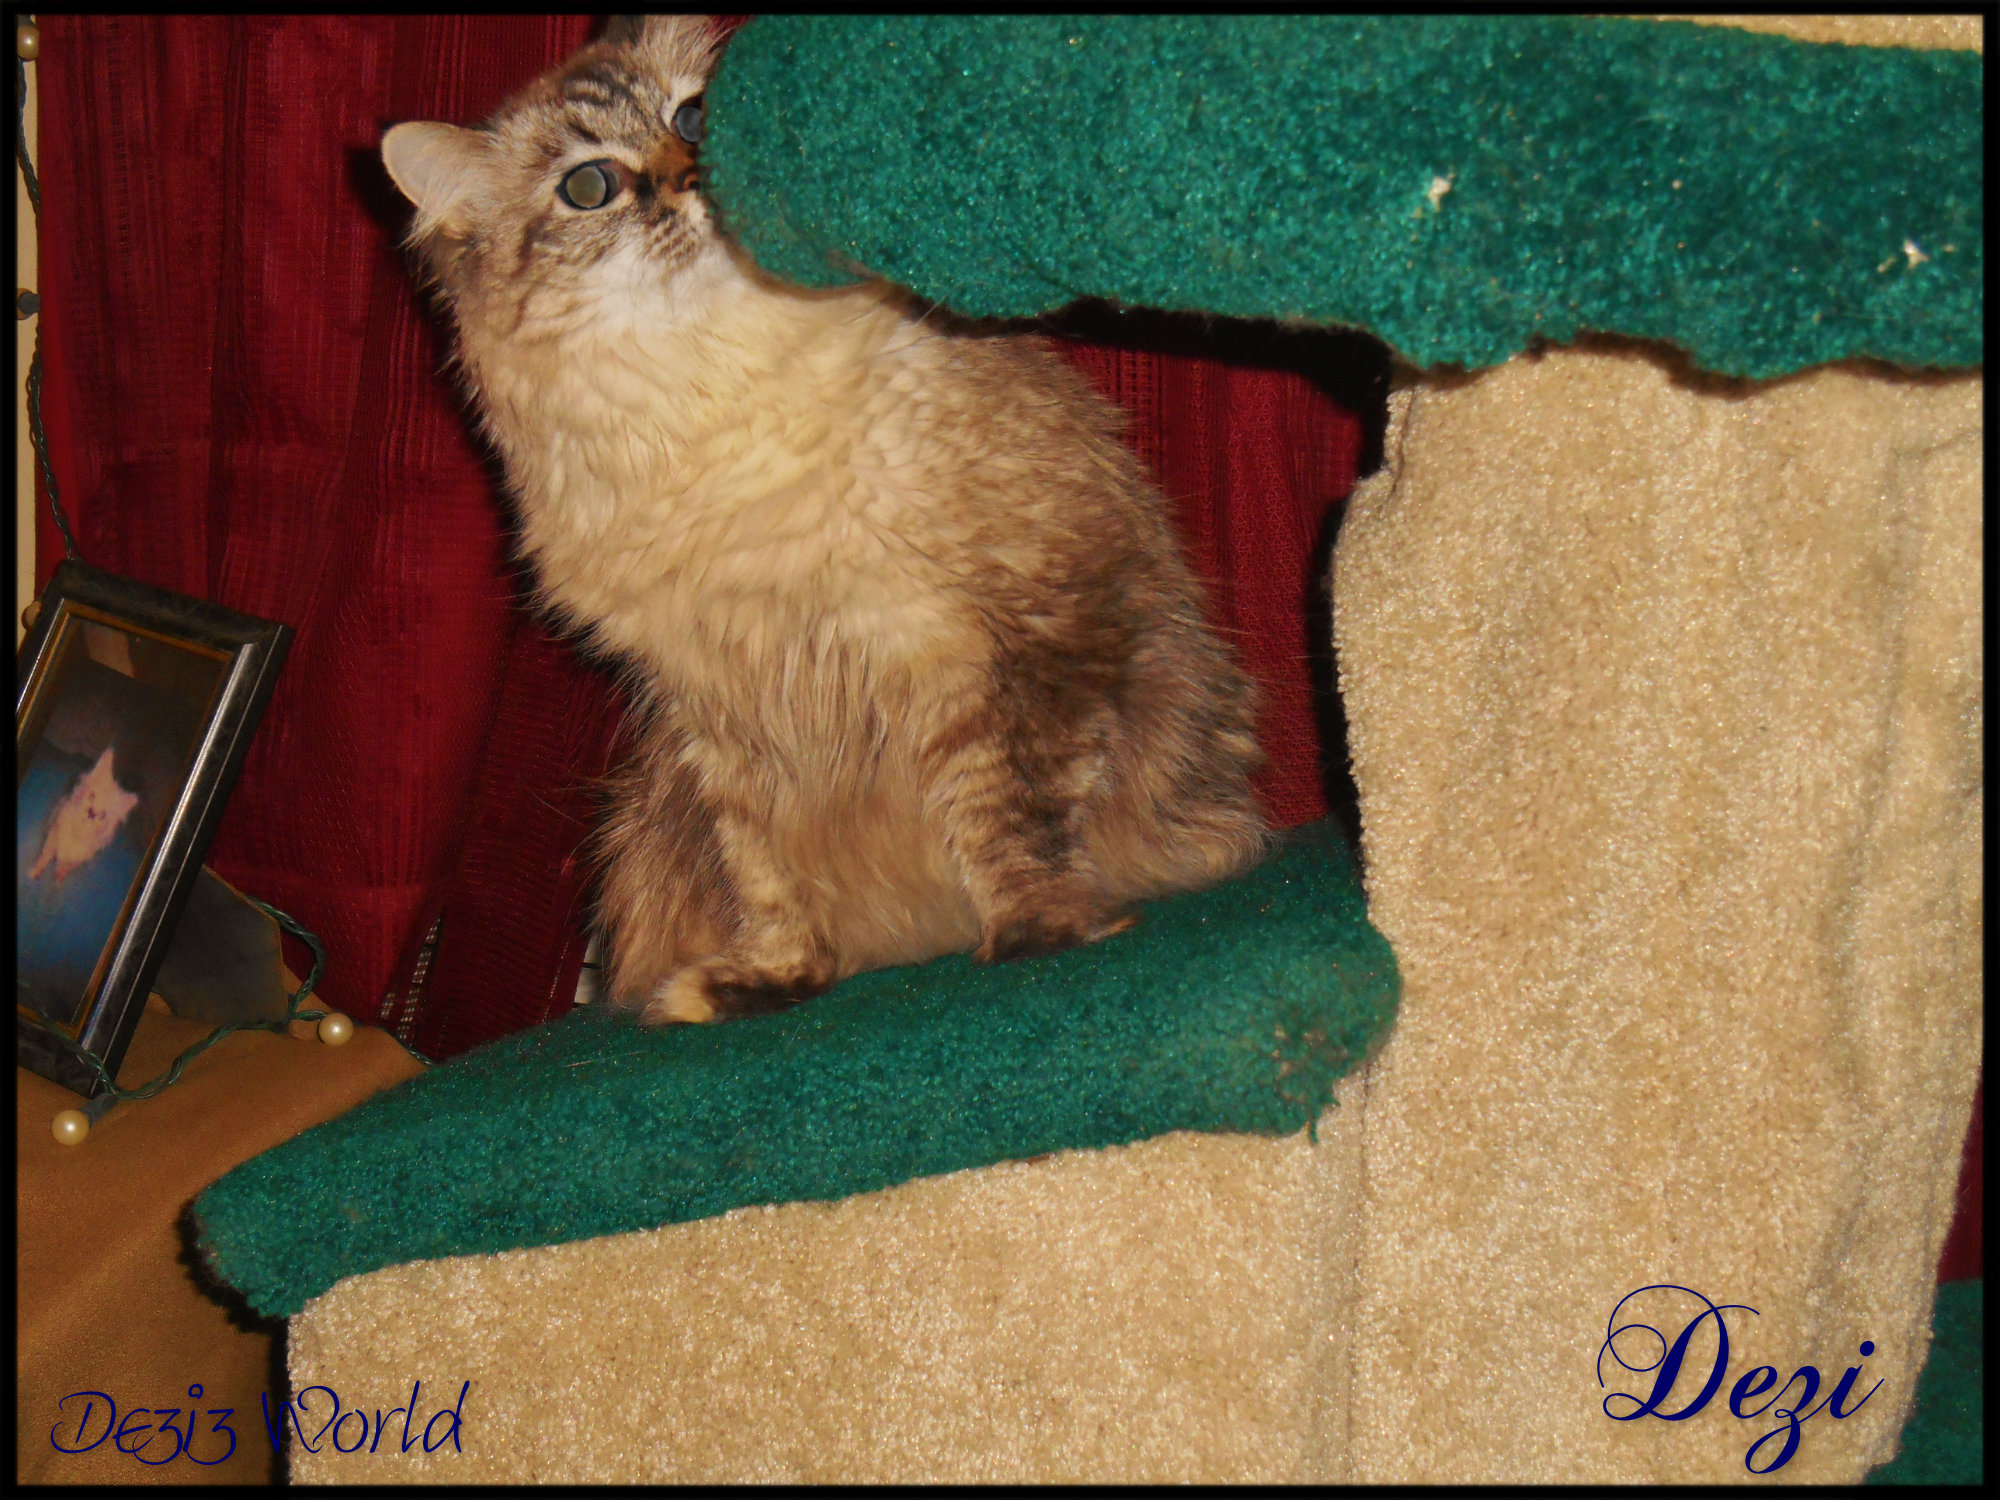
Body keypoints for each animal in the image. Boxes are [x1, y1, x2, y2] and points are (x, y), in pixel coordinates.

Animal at [29, 745, 140, 884]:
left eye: (102, 815)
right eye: (92, 796)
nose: (92, 812)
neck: (77, 831)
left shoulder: (79, 857)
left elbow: (67, 866)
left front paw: (59, 875)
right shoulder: (53, 839)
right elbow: (45, 855)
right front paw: (35, 871)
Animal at [380, 14, 1269, 1024]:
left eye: (695, 117)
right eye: (589, 186)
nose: (691, 174)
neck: (717, 421)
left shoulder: (991, 633)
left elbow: (1011, 814)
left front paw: (1037, 936)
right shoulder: (724, 712)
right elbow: (771, 878)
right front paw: (771, 983)